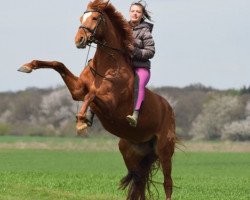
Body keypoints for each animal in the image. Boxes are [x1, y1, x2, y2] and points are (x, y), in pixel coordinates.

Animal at [17, 0, 177, 199]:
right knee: (139, 181)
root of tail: (169, 108)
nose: (79, 40)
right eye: (81, 18)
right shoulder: (78, 90)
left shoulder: (110, 106)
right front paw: (27, 66)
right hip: (130, 151)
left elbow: (91, 95)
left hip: (164, 149)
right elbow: (58, 65)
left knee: (168, 183)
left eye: (94, 18)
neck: (107, 65)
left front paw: (81, 121)